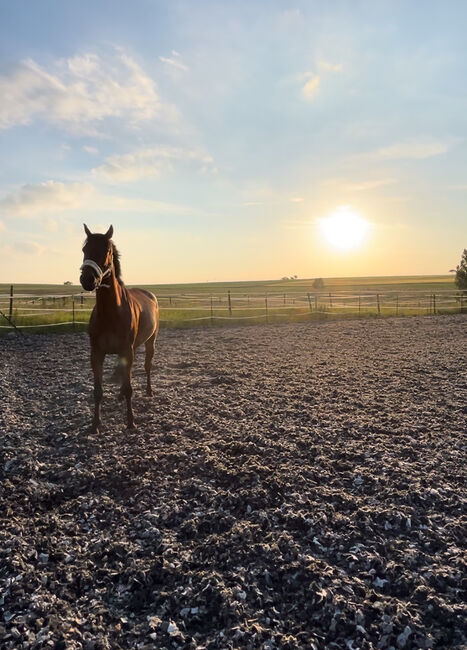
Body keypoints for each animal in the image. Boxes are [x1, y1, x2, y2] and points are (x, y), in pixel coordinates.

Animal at [79, 223, 160, 430]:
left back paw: (149, 391)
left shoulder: (127, 350)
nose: (87, 279)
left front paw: (131, 422)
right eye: (84, 249)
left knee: (147, 366)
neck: (110, 313)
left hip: (150, 341)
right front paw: (95, 424)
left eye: (107, 251)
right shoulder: (96, 354)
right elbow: (98, 390)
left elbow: (130, 387)